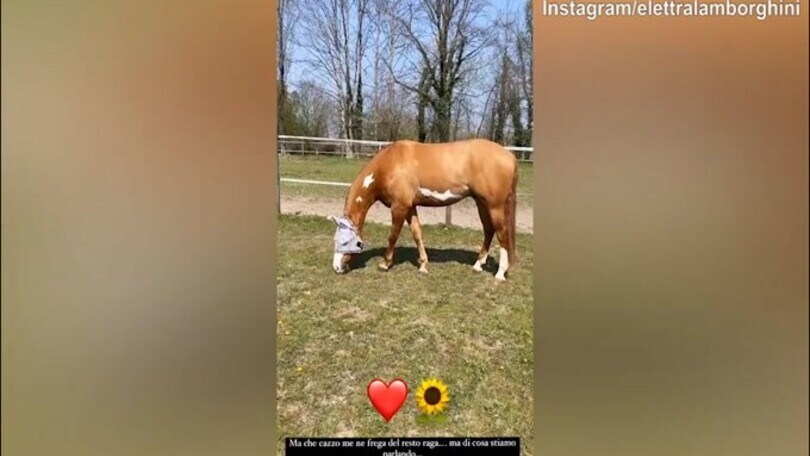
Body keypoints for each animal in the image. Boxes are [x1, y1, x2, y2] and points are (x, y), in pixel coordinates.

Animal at [329, 138, 519, 281]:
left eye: (344, 242)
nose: (336, 267)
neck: (389, 165)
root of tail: (510, 156)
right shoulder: (410, 207)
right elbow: (416, 233)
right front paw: (423, 265)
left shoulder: (399, 207)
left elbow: (393, 235)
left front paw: (385, 264)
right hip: (481, 203)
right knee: (489, 230)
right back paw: (478, 265)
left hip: (494, 206)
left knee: (501, 233)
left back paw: (500, 273)